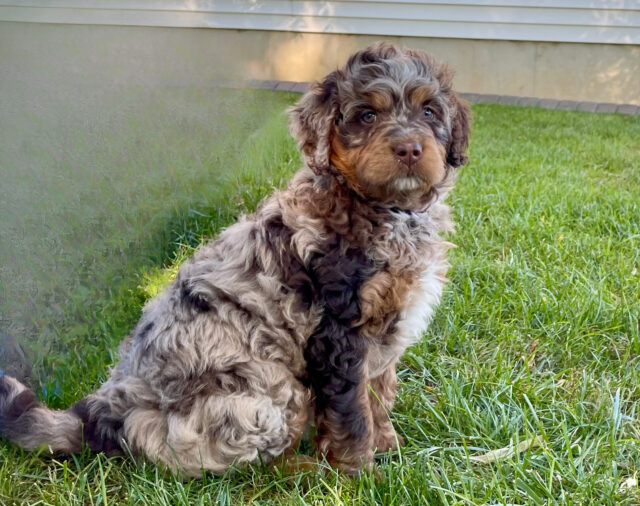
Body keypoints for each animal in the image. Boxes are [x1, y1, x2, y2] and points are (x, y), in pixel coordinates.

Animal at [0, 42, 470, 474]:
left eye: (430, 111)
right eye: (367, 115)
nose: (409, 149)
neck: (385, 209)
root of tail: (106, 412)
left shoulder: (386, 329)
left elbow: (379, 394)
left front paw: (388, 445)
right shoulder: (339, 335)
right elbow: (352, 412)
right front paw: (358, 473)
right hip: (268, 393)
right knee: (256, 461)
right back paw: (307, 470)